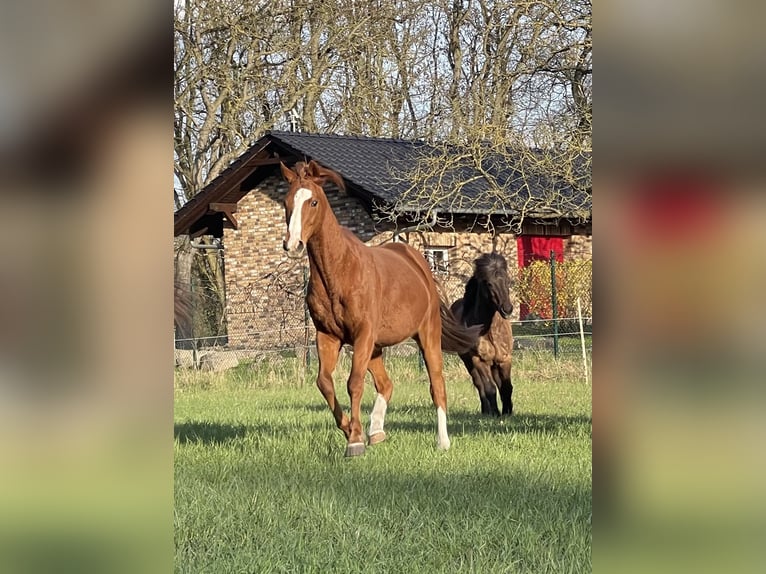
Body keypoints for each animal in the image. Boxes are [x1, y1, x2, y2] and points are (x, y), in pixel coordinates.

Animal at [279, 160, 478, 457]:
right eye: (286, 201)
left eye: (313, 201)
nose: (293, 244)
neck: (339, 271)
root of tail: (420, 263)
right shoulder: (327, 336)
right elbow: (324, 383)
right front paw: (351, 429)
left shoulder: (362, 334)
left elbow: (354, 383)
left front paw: (354, 441)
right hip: (375, 347)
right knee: (386, 384)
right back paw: (376, 431)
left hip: (427, 335)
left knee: (437, 386)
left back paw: (442, 442)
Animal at [450, 253, 515, 416]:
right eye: (489, 283)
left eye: (508, 281)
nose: (507, 309)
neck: (490, 331)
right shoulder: (479, 360)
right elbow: (489, 388)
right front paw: (495, 413)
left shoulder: (505, 359)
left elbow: (506, 387)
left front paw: (508, 412)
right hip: (468, 361)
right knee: (480, 385)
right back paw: (486, 411)